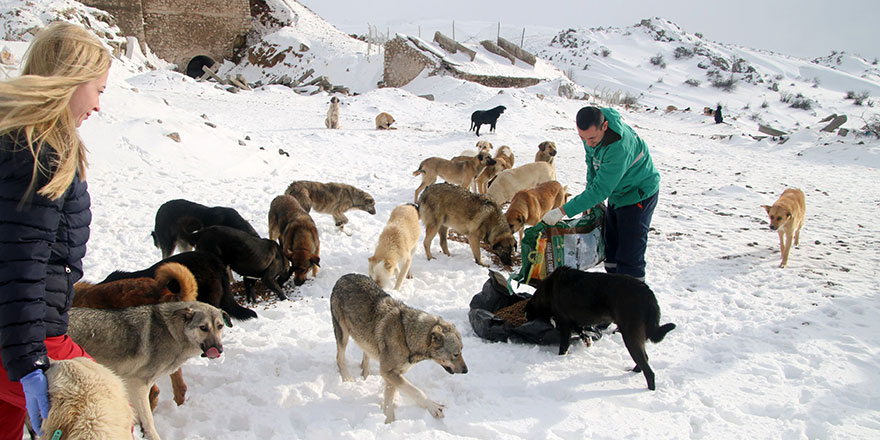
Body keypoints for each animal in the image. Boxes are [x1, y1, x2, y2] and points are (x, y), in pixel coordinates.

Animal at [68, 300, 230, 440]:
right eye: (203, 328)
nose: (219, 349)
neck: (172, 333)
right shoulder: (137, 384)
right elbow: (148, 419)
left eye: (220, 326)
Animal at [330, 276, 468, 422]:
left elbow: (391, 394)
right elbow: (415, 391)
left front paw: (388, 416)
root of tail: (343, 277)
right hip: (343, 334)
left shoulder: (394, 373)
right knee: (340, 358)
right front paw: (432, 407)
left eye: (462, 351)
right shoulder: (389, 372)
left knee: (365, 354)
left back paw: (365, 374)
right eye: (456, 354)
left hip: (363, 336)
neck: (407, 336)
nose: (466, 370)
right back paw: (347, 378)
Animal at [524, 266, 676, 390]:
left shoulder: (565, 322)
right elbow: (582, 332)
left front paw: (561, 358)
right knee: (645, 359)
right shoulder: (575, 322)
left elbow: (564, 346)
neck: (548, 290)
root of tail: (648, 294)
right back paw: (633, 371)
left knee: (649, 371)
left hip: (630, 334)